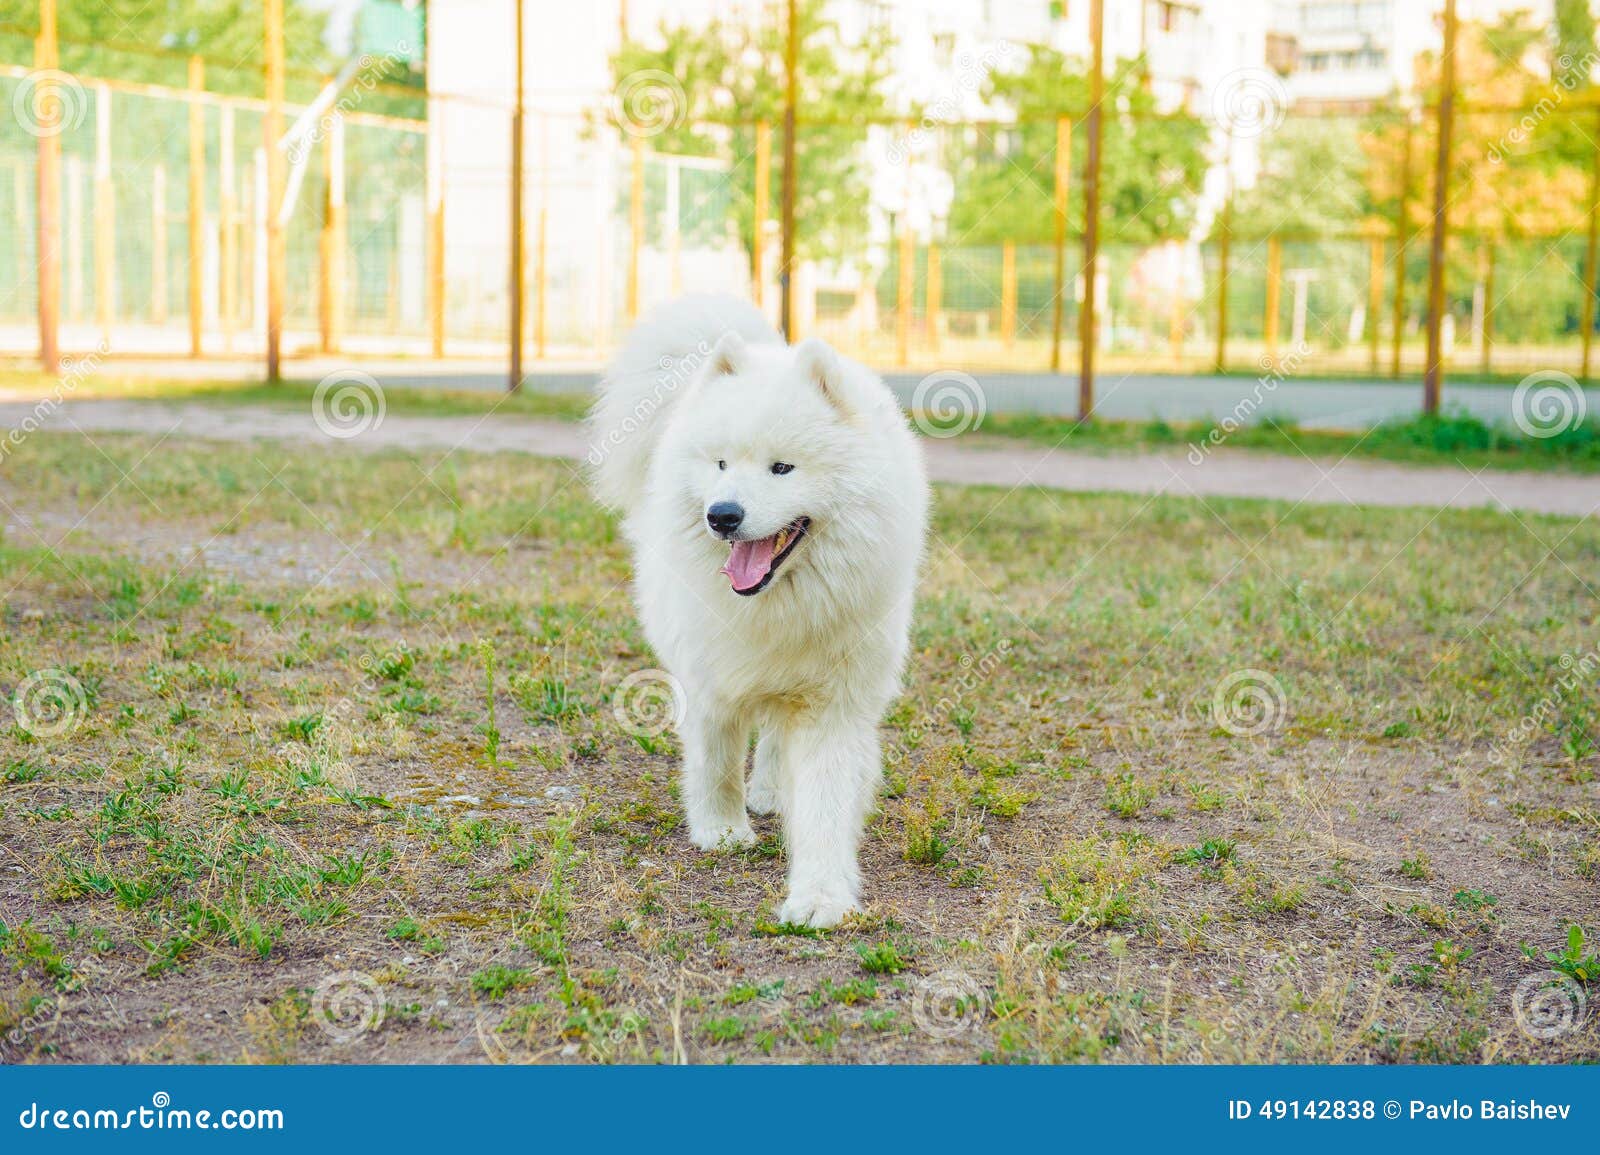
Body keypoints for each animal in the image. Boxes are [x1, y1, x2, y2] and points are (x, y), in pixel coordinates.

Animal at [592, 294, 934, 927]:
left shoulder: (833, 704)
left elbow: (825, 803)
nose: (723, 515)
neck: (778, 606)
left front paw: (820, 896)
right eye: (721, 465)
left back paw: (773, 792)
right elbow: (716, 761)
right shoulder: (710, 678)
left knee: (777, 737)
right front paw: (721, 831)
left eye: (782, 468)